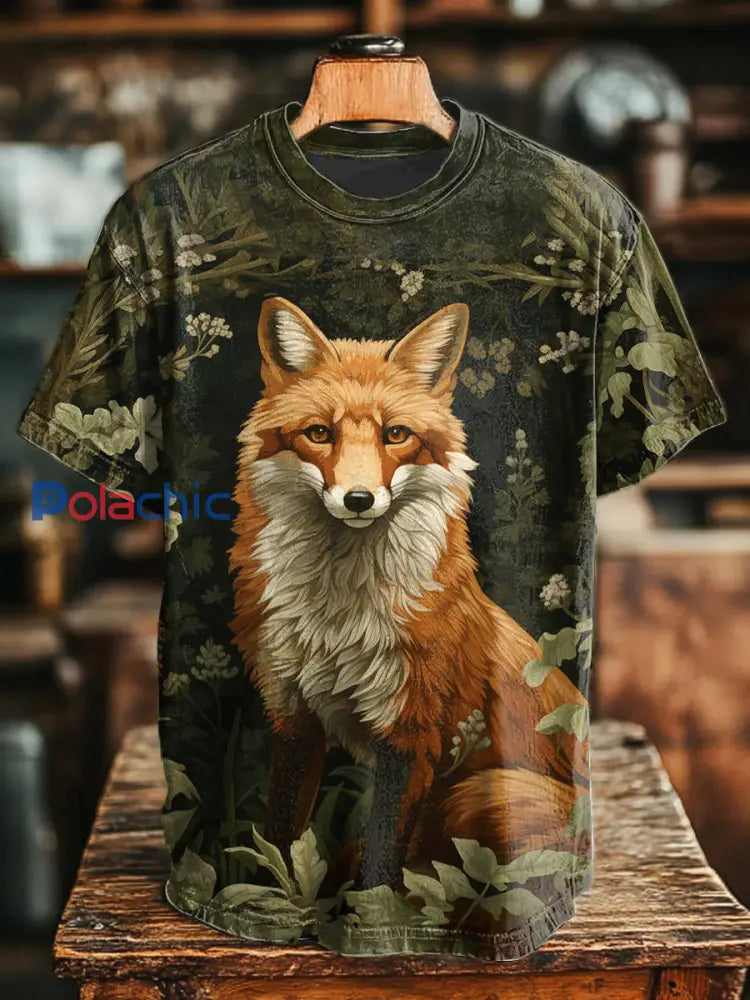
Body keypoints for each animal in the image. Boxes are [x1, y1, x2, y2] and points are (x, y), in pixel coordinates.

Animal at [229, 295, 589, 891]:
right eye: (319, 433)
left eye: (395, 435)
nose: (357, 499)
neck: (338, 615)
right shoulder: (293, 716)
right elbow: (281, 840)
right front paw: (275, 902)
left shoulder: (414, 734)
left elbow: (380, 864)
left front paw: (370, 911)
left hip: (479, 794)